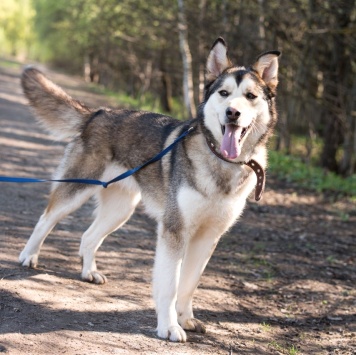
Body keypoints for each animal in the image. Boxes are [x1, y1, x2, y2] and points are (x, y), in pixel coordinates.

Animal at [19, 38, 280, 342]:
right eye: (224, 93)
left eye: (250, 96)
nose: (232, 113)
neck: (221, 162)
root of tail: (97, 113)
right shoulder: (174, 230)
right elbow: (170, 285)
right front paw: (169, 326)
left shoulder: (208, 237)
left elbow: (188, 284)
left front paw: (186, 319)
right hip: (77, 189)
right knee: (46, 218)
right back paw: (29, 256)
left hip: (120, 210)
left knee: (88, 237)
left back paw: (88, 272)